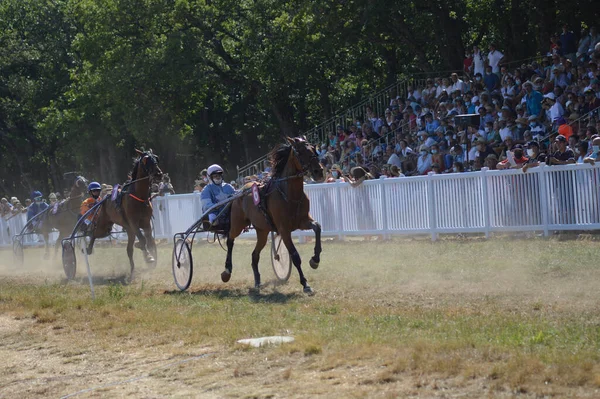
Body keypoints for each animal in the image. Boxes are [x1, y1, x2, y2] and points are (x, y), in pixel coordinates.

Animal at [86, 149, 162, 282]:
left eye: (156, 158)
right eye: (146, 160)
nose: (159, 174)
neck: (139, 196)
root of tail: (105, 198)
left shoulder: (146, 223)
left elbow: (149, 240)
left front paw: (150, 256)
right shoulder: (133, 223)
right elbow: (143, 239)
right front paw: (148, 256)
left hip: (127, 230)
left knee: (129, 250)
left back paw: (132, 271)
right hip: (104, 227)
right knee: (94, 233)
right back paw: (89, 248)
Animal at [224, 136, 326, 296]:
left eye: (314, 149)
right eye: (300, 151)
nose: (319, 171)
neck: (290, 194)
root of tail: (240, 191)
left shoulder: (302, 221)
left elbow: (317, 227)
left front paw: (315, 259)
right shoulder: (284, 230)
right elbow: (295, 256)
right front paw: (305, 284)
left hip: (262, 231)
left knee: (254, 255)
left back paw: (257, 282)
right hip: (238, 224)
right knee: (230, 240)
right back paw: (227, 270)